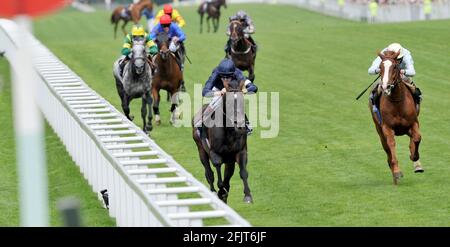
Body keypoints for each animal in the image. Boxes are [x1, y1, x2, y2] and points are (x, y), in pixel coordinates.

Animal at [368, 50, 424, 185]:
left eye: (395, 67)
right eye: (381, 67)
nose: (385, 86)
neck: (397, 101)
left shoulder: (413, 123)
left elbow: (417, 138)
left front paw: (415, 158)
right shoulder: (387, 128)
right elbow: (391, 144)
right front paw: (397, 172)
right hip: (379, 131)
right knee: (387, 151)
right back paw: (394, 174)